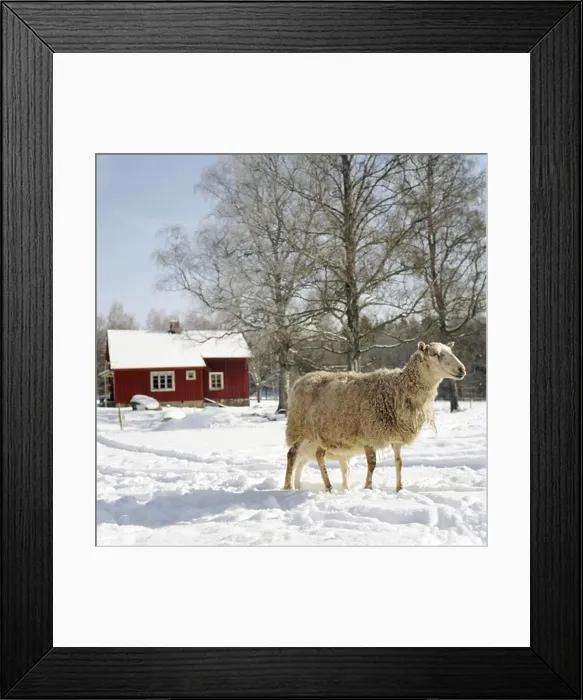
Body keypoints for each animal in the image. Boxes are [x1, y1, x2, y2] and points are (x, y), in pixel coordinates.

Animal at [284, 341, 466, 493]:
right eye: (435, 354)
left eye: (450, 351)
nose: (462, 370)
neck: (399, 389)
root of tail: (301, 380)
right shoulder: (369, 434)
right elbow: (372, 464)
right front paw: (368, 488)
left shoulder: (396, 436)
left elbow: (399, 462)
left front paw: (399, 489)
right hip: (299, 428)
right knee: (292, 454)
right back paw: (288, 487)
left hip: (323, 435)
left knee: (318, 456)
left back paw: (327, 487)